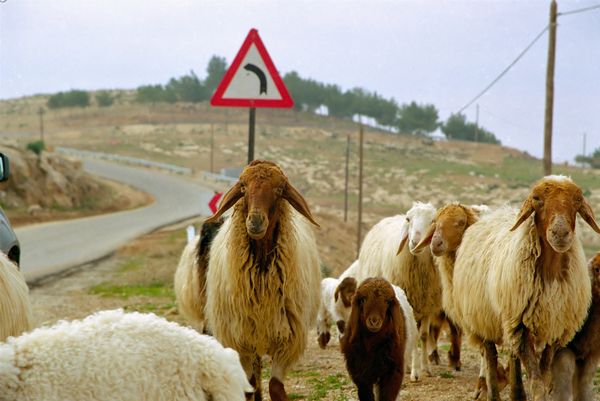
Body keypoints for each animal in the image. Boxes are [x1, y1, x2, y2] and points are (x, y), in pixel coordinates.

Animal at [203, 159, 324, 400]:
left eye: (279, 189)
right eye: (242, 187)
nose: (256, 222)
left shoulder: (287, 340)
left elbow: (276, 387)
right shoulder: (241, 339)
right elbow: (248, 386)